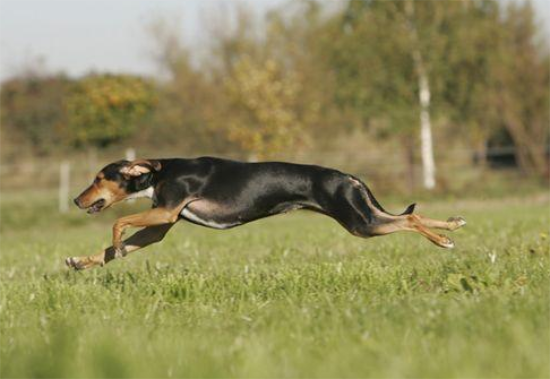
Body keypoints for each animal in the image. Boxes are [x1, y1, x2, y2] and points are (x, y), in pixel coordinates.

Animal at [67, 157, 468, 270]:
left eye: (99, 178)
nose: (75, 200)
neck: (160, 172)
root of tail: (346, 176)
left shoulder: (165, 214)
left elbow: (118, 222)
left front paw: (118, 245)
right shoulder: (159, 228)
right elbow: (108, 250)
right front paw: (81, 261)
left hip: (360, 222)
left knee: (409, 219)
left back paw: (443, 240)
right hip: (363, 215)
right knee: (412, 217)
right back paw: (452, 224)